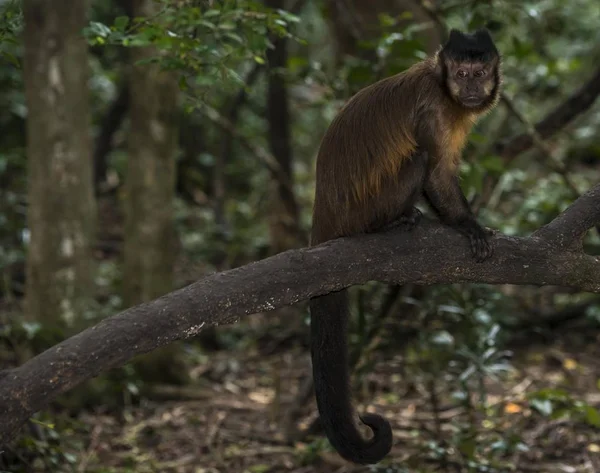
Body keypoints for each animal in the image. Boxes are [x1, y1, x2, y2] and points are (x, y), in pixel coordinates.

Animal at [310, 27, 502, 462]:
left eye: (480, 72)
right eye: (461, 73)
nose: (471, 87)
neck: (445, 90)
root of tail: (324, 210)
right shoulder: (432, 109)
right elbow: (436, 173)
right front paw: (468, 224)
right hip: (363, 208)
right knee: (417, 159)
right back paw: (391, 222)